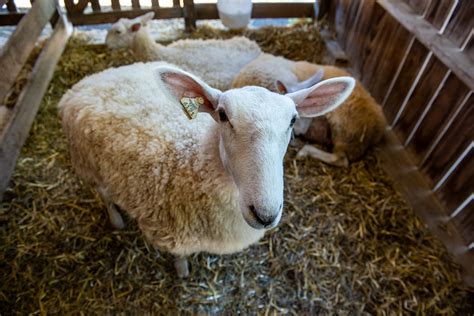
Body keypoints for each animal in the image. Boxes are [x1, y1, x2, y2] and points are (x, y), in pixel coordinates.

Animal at [57, 60, 356, 276]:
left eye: (293, 120)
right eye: (222, 115)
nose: (265, 214)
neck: (196, 157)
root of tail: (96, 76)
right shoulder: (173, 231)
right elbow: (180, 257)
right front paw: (182, 272)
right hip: (88, 163)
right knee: (104, 195)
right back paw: (116, 220)